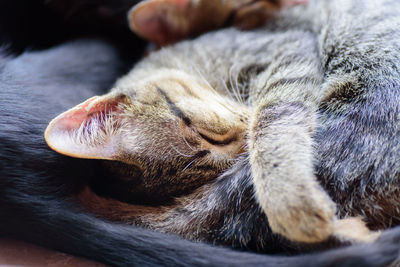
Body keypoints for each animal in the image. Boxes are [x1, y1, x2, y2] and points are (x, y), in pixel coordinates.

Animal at [45, 0, 400, 252]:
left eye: (204, 135)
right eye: (211, 165)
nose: (241, 151)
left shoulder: (286, 48)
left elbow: (270, 128)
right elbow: (271, 131)